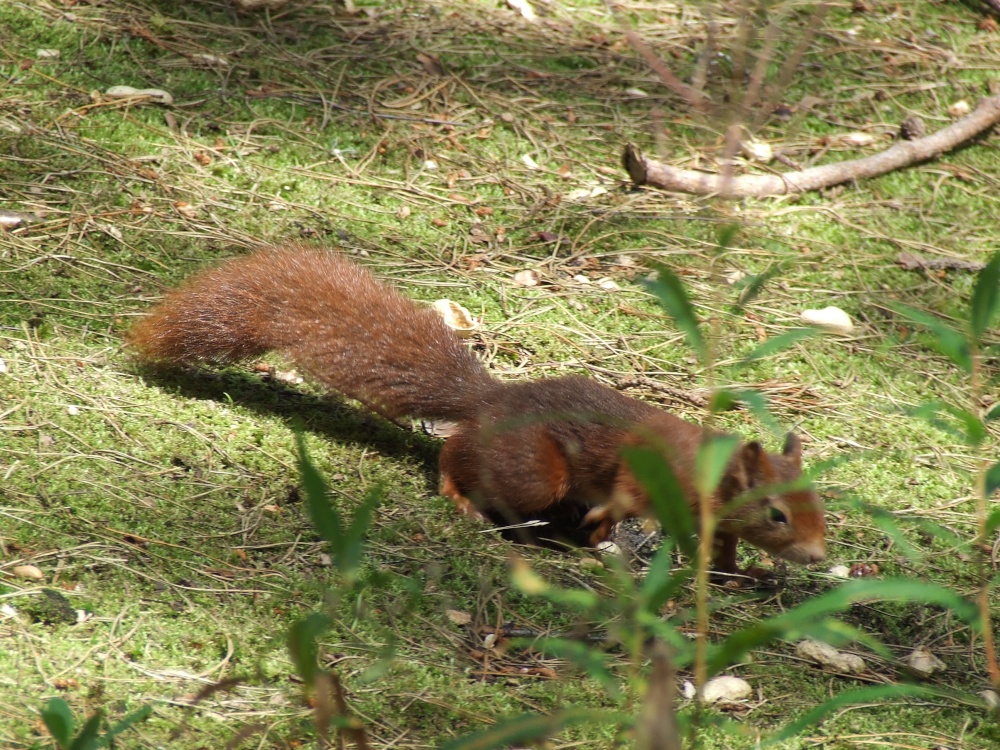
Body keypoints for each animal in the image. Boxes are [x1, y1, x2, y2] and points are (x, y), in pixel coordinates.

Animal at [127, 244, 828, 572]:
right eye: (776, 513)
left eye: (819, 507)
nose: (819, 556)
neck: (711, 471)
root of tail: (492, 400)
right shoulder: (646, 471)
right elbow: (625, 494)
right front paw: (605, 528)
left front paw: (735, 574)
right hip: (533, 469)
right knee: (454, 454)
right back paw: (464, 498)